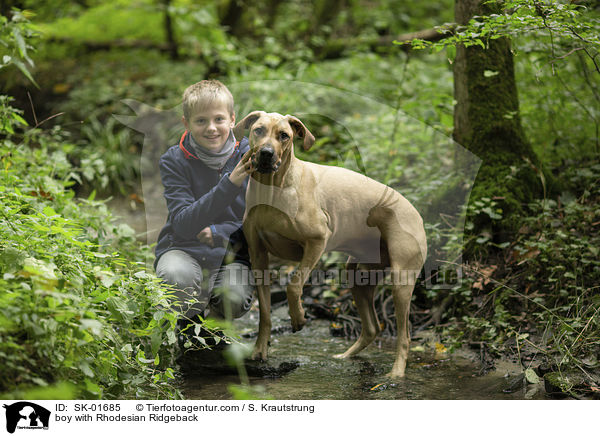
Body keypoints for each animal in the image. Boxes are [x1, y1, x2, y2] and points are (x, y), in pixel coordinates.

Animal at [234, 110, 426, 376]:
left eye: (284, 136)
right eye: (259, 130)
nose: (266, 153)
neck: (273, 188)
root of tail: (417, 214)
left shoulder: (317, 241)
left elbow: (293, 285)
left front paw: (298, 318)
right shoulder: (258, 256)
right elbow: (264, 311)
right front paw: (260, 350)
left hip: (401, 281)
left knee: (404, 335)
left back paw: (396, 373)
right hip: (358, 275)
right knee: (372, 328)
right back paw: (345, 356)